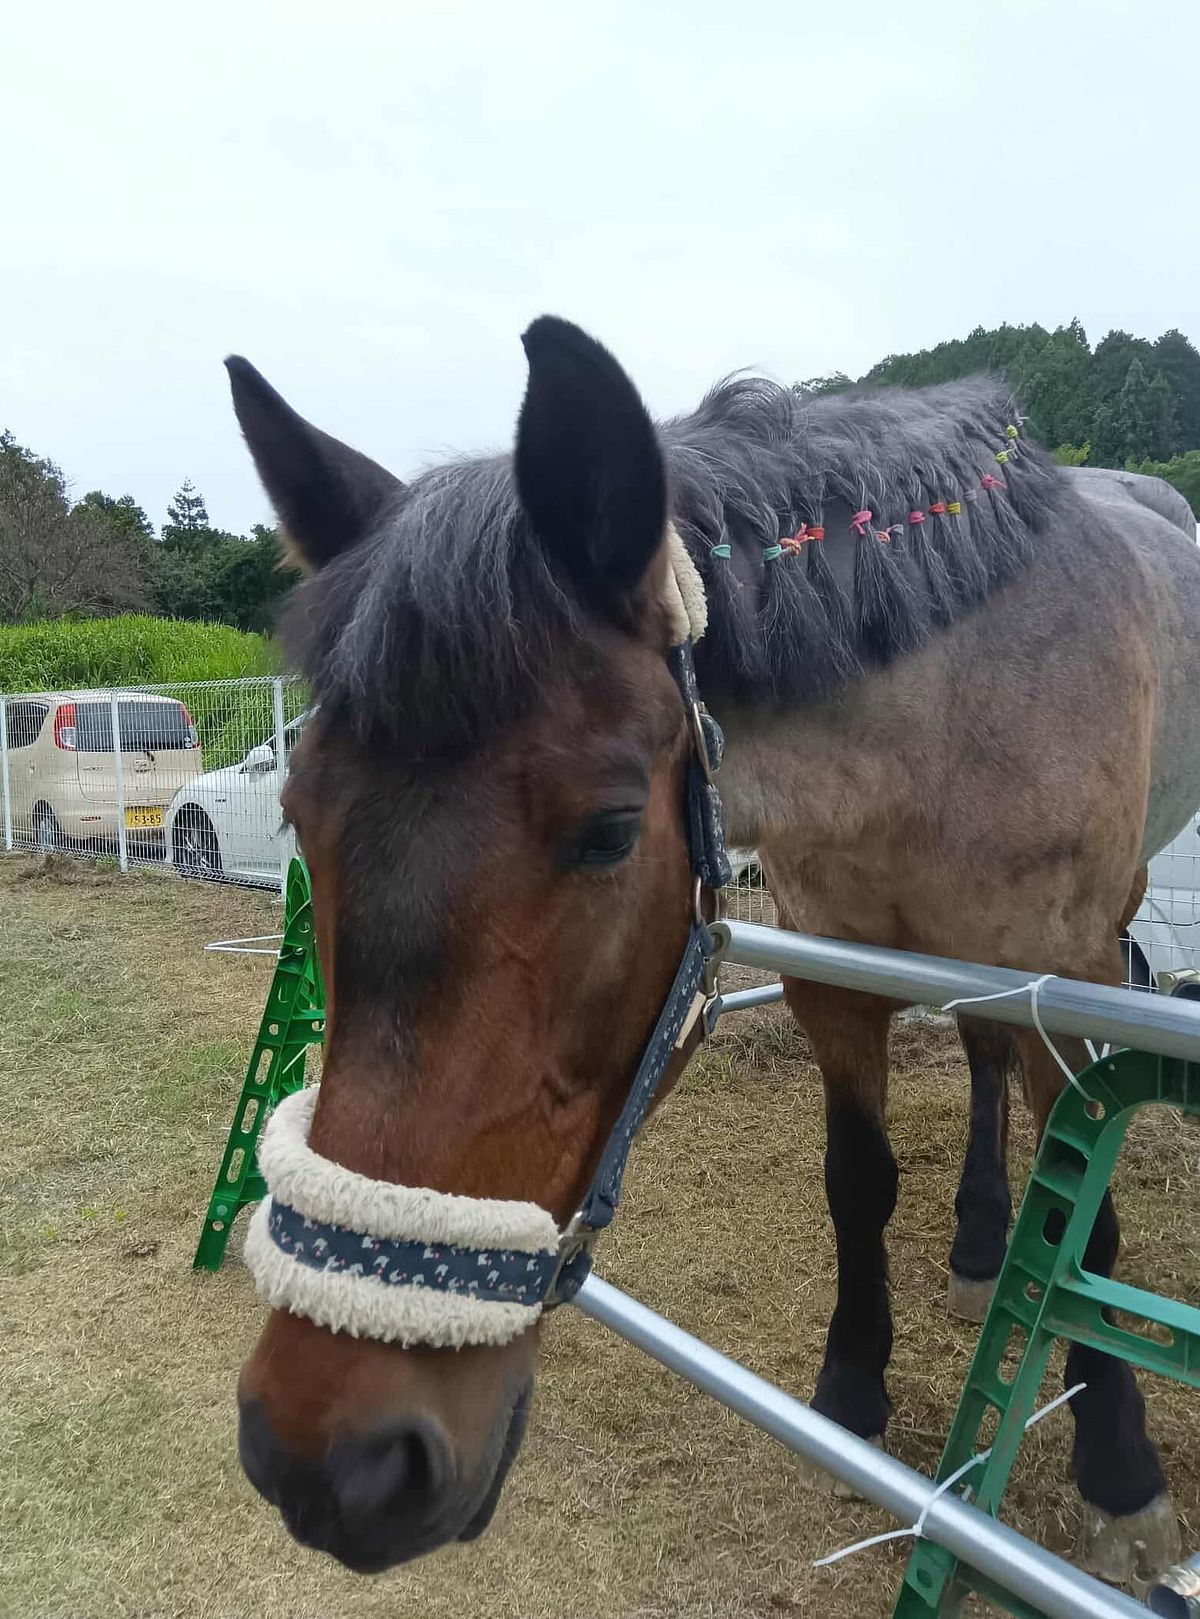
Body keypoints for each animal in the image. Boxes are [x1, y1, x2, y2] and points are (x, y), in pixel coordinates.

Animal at [226, 317, 1200, 1583]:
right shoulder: (833, 968)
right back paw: (982, 1240)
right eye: (299, 815)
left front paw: (1120, 1470)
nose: (329, 1463)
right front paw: (852, 1390)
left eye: (609, 831)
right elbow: (859, 1177)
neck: (951, 715)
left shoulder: (1069, 976)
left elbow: (1091, 1215)